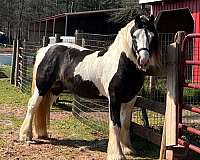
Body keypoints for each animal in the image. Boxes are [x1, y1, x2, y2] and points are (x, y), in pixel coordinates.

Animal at [19, 15, 159, 160]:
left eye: (152, 36)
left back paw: (42, 134)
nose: (144, 60)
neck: (121, 63)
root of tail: (45, 50)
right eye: (134, 36)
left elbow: (125, 123)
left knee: (44, 107)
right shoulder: (114, 98)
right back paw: (25, 136)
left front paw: (127, 149)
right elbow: (115, 123)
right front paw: (117, 154)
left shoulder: (130, 100)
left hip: (54, 89)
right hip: (42, 87)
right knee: (32, 105)